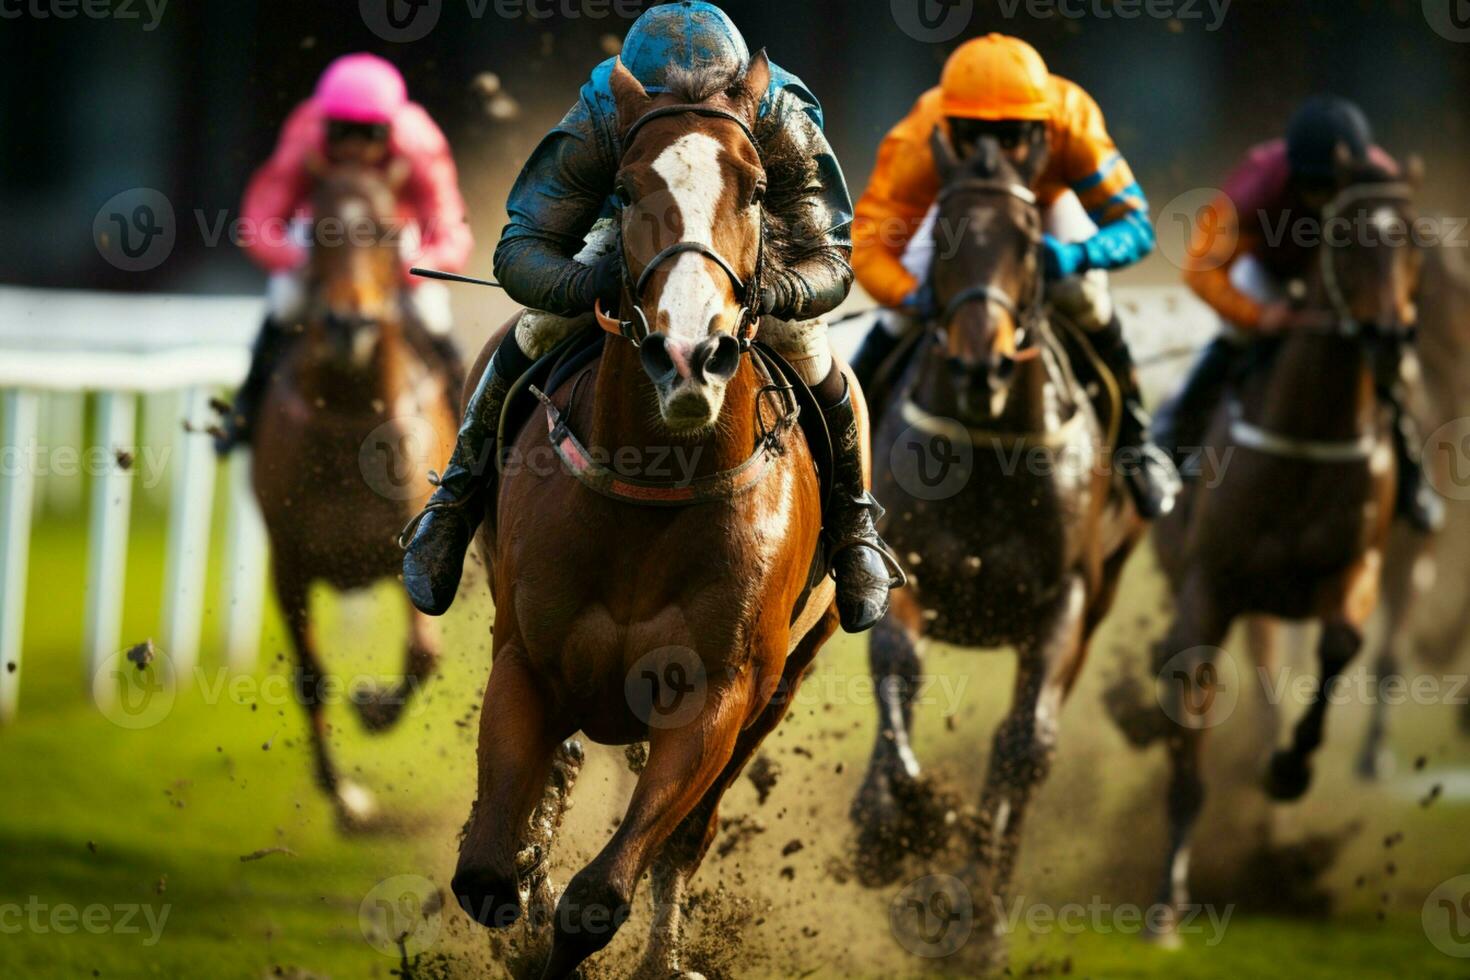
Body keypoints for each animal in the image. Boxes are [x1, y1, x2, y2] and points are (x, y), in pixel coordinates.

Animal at [249, 160, 458, 828]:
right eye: (320, 229)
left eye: (390, 231)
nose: (349, 325)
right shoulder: (288, 560)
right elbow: (311, 675)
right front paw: (342, 795)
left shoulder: (410, 549)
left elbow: (423, 656)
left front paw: (372, 707)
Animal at [852, 134, 1146, 969]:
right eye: (946, 239)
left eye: (1025, 241)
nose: (977, 366)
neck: (985, 449)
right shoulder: (903, 570)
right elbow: (899, 668)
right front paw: (891, 823)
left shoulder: (1064, 596)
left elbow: (1025, 745)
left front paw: (978, 918)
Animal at [1111, 166, 1422, 940]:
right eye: (1346, 240)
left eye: (1415, 241)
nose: (1390, 339)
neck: (1309, 432)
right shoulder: (1211, 584)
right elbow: (1190, 707)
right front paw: (1167, 902)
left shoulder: (1353, 567)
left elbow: (1341, 644)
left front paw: (1290, 769)